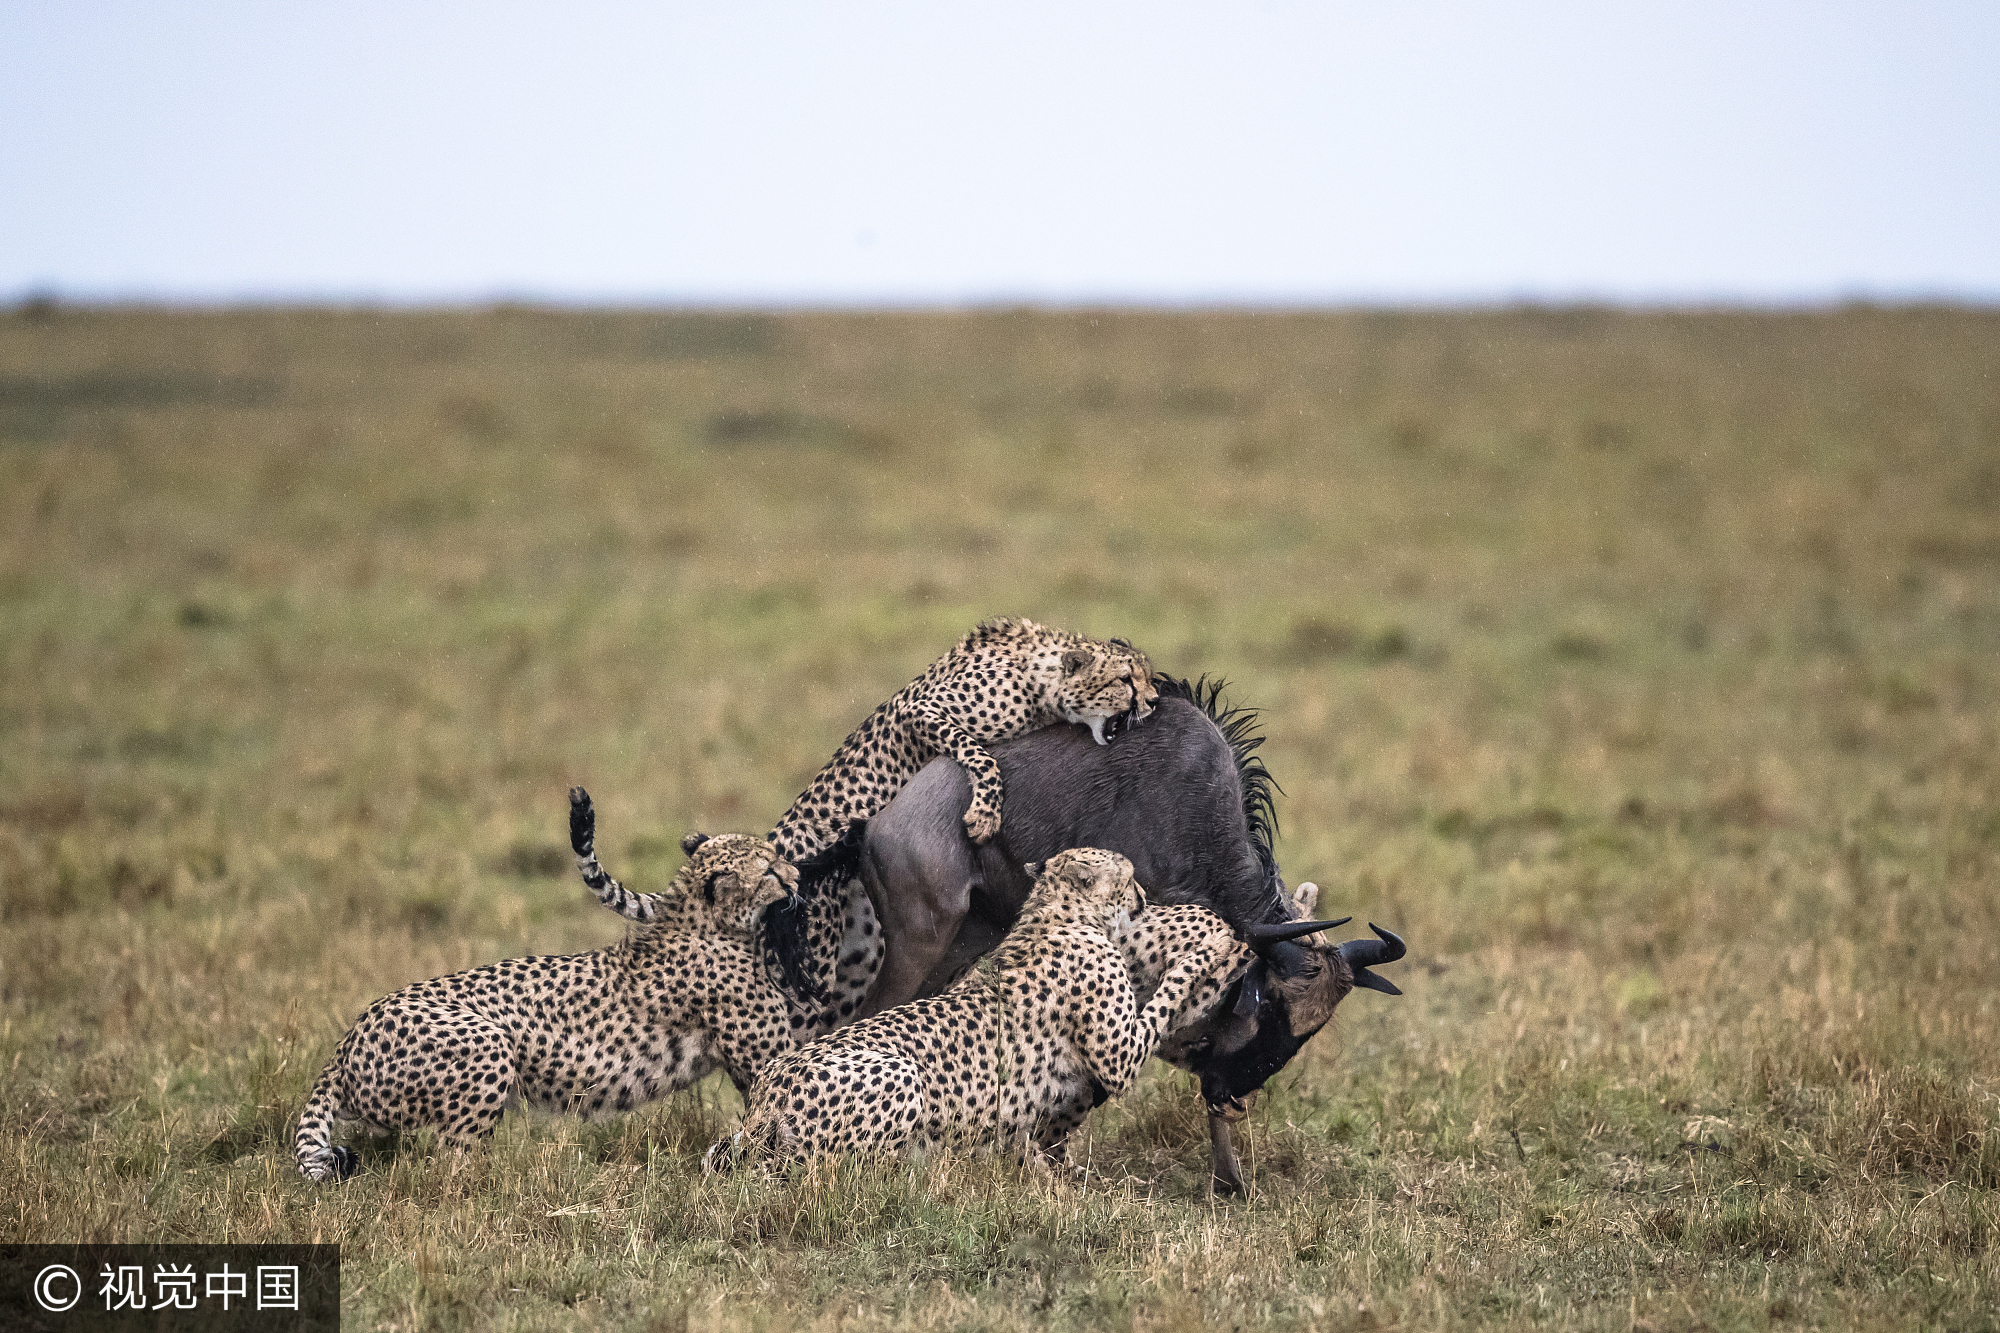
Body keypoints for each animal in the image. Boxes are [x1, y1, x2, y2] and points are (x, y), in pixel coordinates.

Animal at [292, 784, 800, 1176]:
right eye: (769, 869)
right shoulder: (768, 1057)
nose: (796, 876)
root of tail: (347, 1043)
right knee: (451, 1165)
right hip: (487, 1046)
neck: (708, 920)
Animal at [704, 844, 1232, 1168]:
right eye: (1128, 879)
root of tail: (767, 1092)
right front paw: (1211, 950)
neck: (1053, 912)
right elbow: (1166, 996)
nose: (1143, 896)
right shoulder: (1117, 1057)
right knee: (843, 1169)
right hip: (902, 1076)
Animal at [772, 616, 1168, 860]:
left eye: (1149, 676)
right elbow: (982, 756)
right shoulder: (920, 709)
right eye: (1124, 680)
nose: (1153, 701)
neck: (1039, 682)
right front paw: (984, 815)